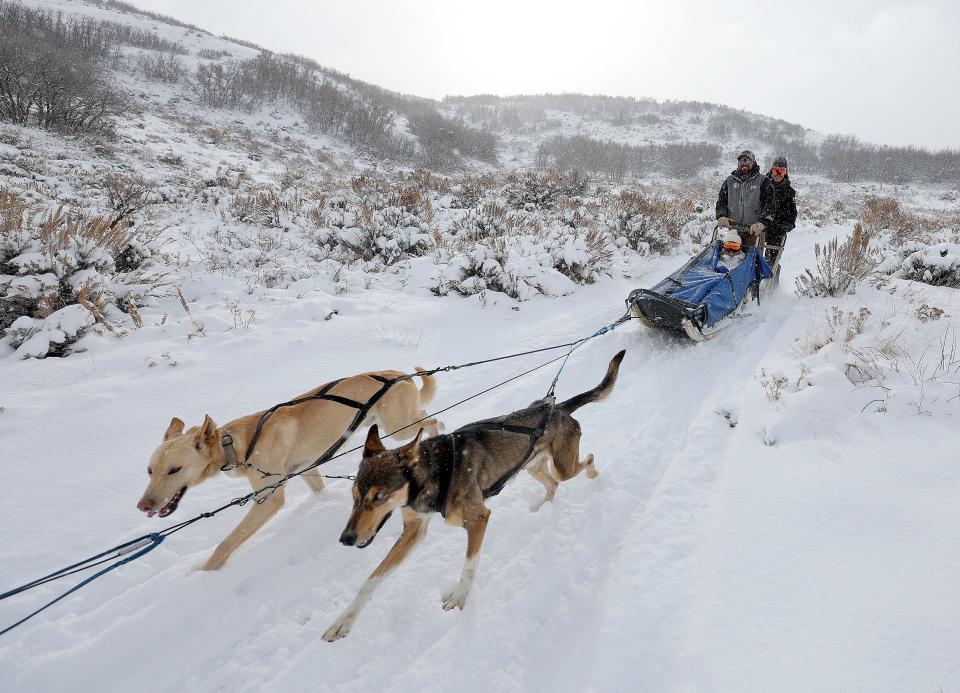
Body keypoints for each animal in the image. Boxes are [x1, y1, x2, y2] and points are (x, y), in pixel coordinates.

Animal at [136, 368, 438, 568]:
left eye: (174, 470)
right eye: (150, 471)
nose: (143, 505)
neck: (236, 445)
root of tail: (400, 374)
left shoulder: (268, 499)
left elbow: (226, 543)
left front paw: (204, 571)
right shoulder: (308, 469)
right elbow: (318, 489)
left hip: (399, 427)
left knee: (432, 421)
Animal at [320, 348, 624, 640]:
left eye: (379, 497)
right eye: (354, 496)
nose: (346, 539)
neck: (437, 471)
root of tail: (557, 407)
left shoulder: (478, 518)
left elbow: (468, 566)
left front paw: (458, 598)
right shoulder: (413, 532)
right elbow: (371, 580)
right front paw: (343, 622)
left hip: (563, 466)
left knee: (585, 461)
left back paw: (593, 476)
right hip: (532, 467)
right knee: (552, 485)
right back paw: (539, 509)